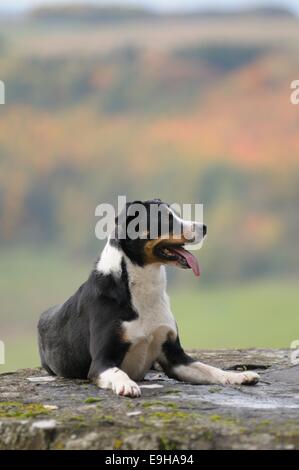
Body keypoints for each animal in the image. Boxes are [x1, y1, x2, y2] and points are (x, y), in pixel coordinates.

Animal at [38, 198, 260, 396]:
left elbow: (209, 369)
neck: (143, 288)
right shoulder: (102, 361)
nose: (204, 227)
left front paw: (238, 376)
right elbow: (118, 373)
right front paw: (127, 385)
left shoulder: (175, 357)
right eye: (167, 219)